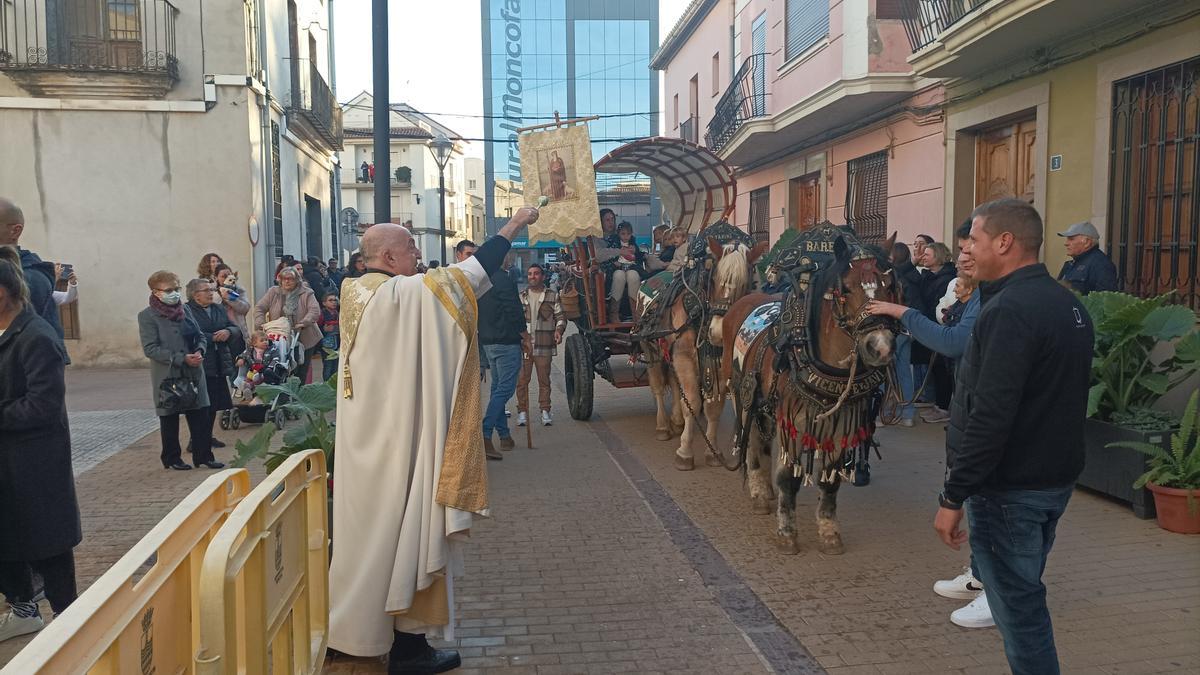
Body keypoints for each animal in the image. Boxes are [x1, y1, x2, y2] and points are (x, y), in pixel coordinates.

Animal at [648, 236, 768, 468]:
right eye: (713, 280)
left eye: (745, 284)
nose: (718, 331)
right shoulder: (684, 358)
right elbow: (693, 403)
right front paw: (685, 452)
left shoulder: (719, 365)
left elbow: (714, 409)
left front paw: (713, 451)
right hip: (654, 352)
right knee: (658, 387)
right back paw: (662, 426)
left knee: (676, 385)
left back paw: (676, 421)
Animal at [715, 230, 897, 552]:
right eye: (846, 289)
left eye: (888, 286)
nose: (881, 346)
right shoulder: (793, 423)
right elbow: (789, 478)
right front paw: (787, 533)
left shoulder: (841, 424)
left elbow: (830, 480)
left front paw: (829, 531)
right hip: (741, 396)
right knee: (752, 444)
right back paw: (759, 492)